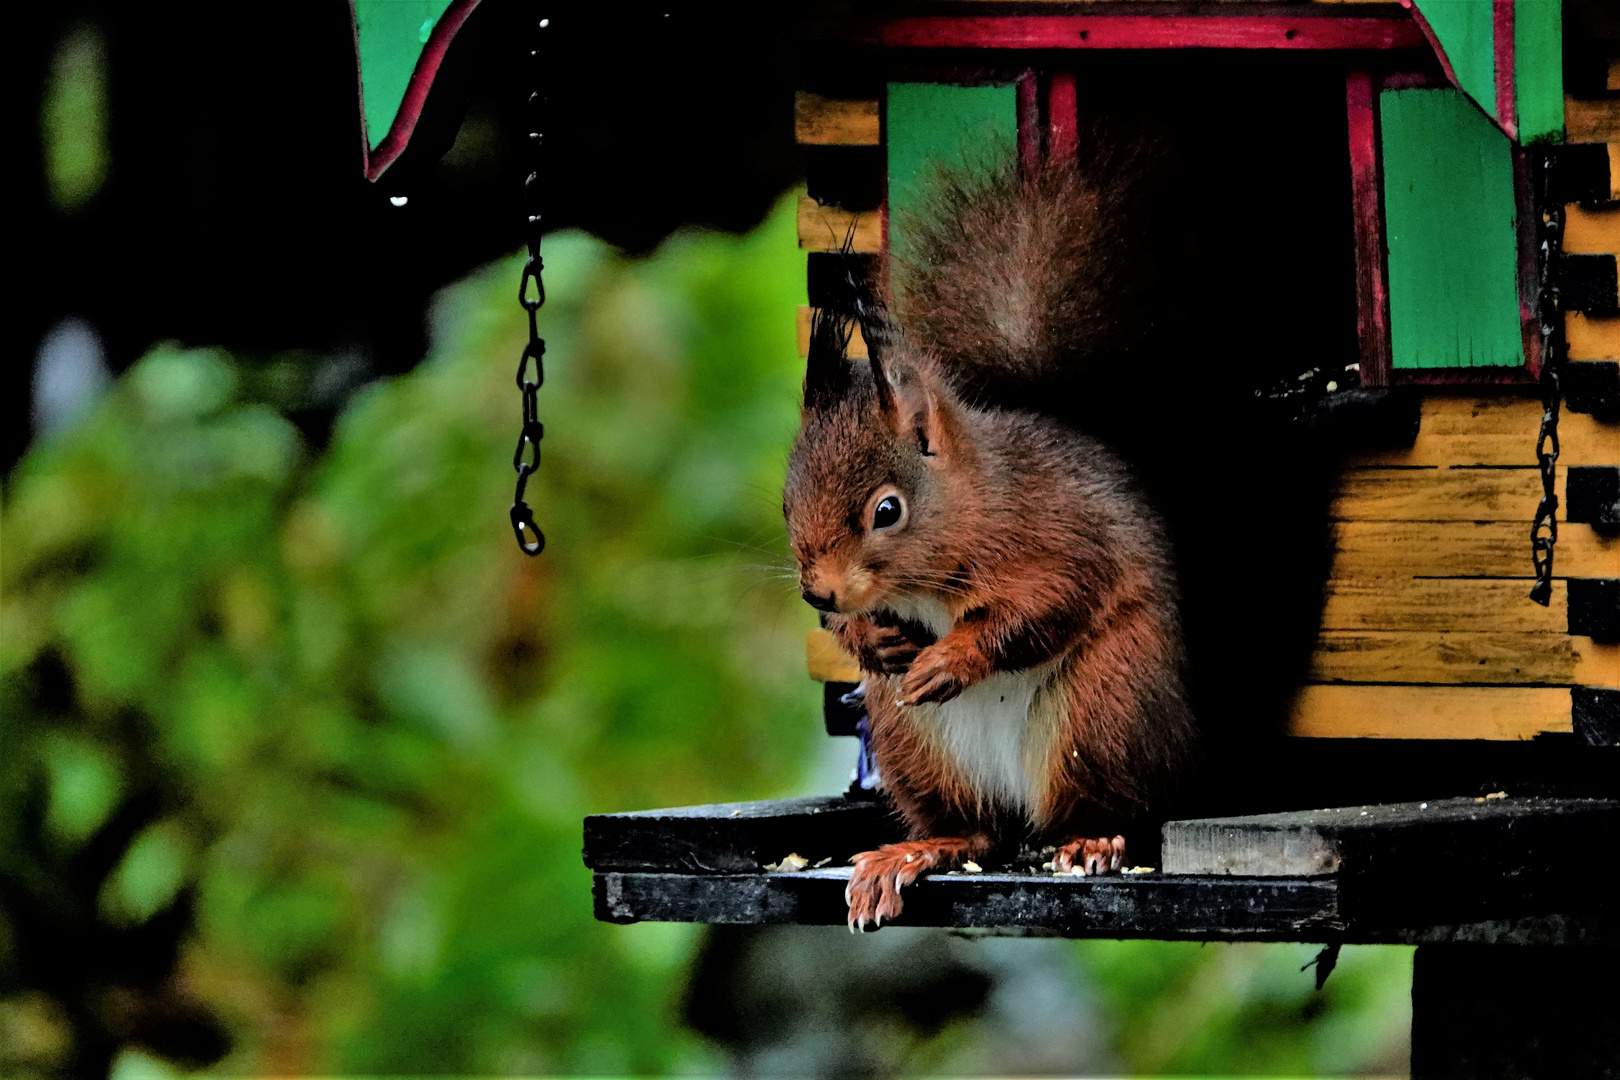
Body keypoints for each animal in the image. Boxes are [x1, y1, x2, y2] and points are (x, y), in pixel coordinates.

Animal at [777, 148, 1198, 932]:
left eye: (887, 510)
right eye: (787, 503)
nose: (818, 590)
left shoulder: (1060, 536)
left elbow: (1045, 606)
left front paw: (950, 659)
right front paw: (870, 638)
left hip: (1106, 708)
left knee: (1101, 803)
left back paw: (1092, 837)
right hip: (913, 743)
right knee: (978, 831)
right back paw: (911, 854)